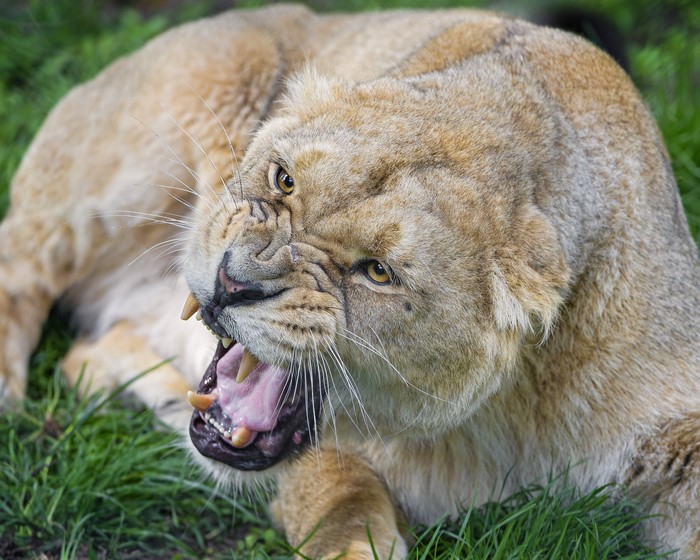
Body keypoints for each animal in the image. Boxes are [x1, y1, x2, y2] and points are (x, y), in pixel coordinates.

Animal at [1, 4, 699, 558]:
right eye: (283, 179)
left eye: (378, 271)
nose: (232, 281)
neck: (503, 416)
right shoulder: (334, 467)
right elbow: (341, 501)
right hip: (206, 79)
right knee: (21, 257)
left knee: (89, 349)